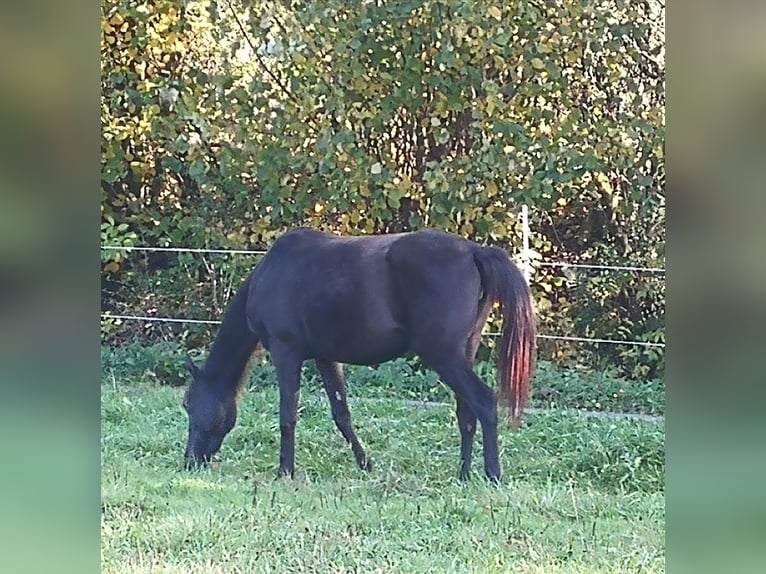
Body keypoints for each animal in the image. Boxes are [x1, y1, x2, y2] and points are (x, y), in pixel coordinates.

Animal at [183, 227, 536, 484]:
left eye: (189, 404)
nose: (190, 461)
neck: (271, 275)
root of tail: (475, 251)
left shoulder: (287, 353)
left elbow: (287, 416)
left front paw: (285, 472)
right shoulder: (325, 358)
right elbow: (342, 414)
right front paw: (365, 463)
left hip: (444, 356)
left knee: (484, 402)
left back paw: (492, 475)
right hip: (464, 352)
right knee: (466, 414)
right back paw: (463, 475)